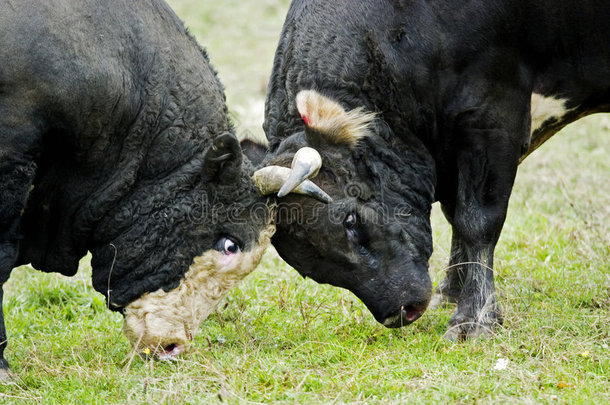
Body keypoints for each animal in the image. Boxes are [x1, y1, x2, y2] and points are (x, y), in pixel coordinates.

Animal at [258, 0, 608, 338]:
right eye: (308, 270)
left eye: (350, 220)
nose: (401, 311)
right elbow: (456, 219)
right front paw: (451, 293)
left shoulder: (492, 118)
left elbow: (476, 221)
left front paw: (474, 319)